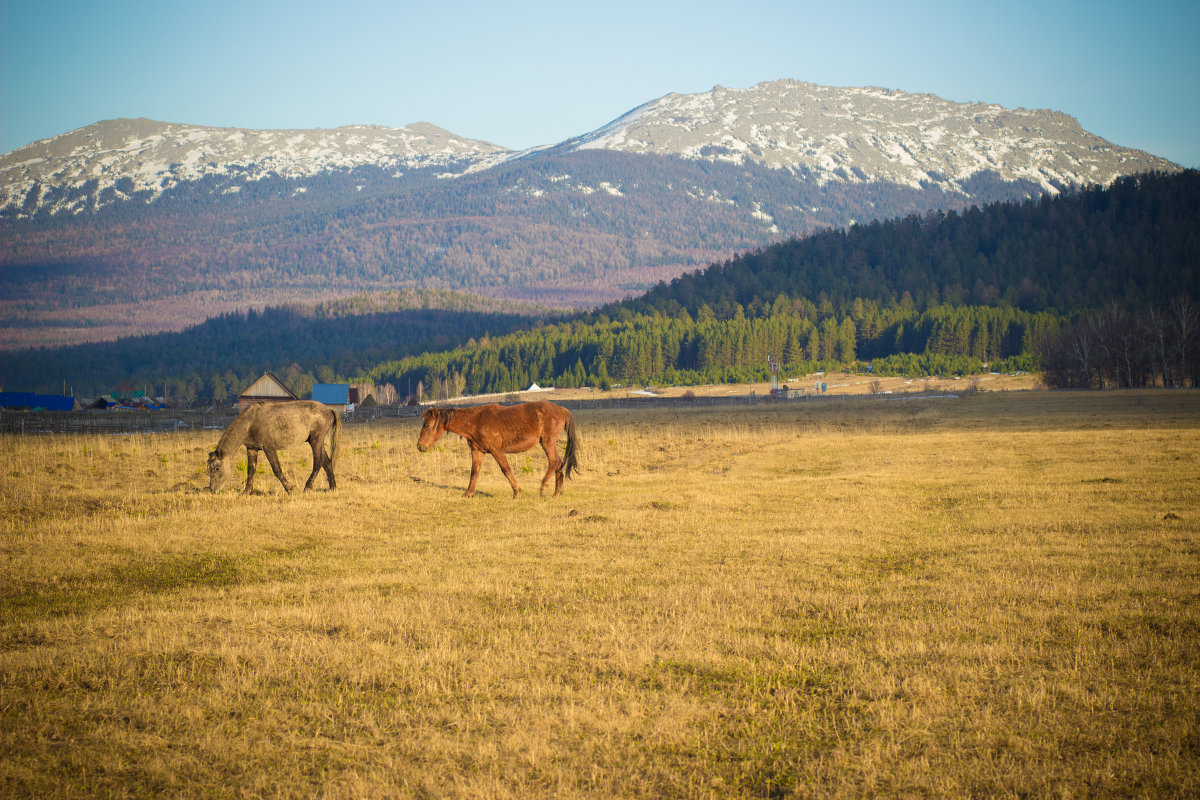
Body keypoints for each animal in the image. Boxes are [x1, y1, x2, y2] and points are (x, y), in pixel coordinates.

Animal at [208, 400, 340, 494]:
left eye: (217, 468)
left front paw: (289, 489)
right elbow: (251, 471)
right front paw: (246, 491)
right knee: (327, 463)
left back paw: (307, 487)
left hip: (315, 441)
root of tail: (329, 409)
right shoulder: (252, 449)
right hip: (317, 442)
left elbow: (276, 469)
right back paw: (332, 488)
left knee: (318, 463)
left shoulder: (269, 448)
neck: (251, 422)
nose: (212, 490)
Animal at [417, 400, 576, 501]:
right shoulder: (477, 451)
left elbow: (506, 469)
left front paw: (517, 492)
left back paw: (544, 488)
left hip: (547, 443)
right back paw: (557, 493)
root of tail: (559, 409)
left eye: (428, 425)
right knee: (558, 463)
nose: (420, 446)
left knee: (554, 461)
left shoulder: (496, 450)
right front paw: (468, 493)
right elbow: (474, 472)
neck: (476, 421)